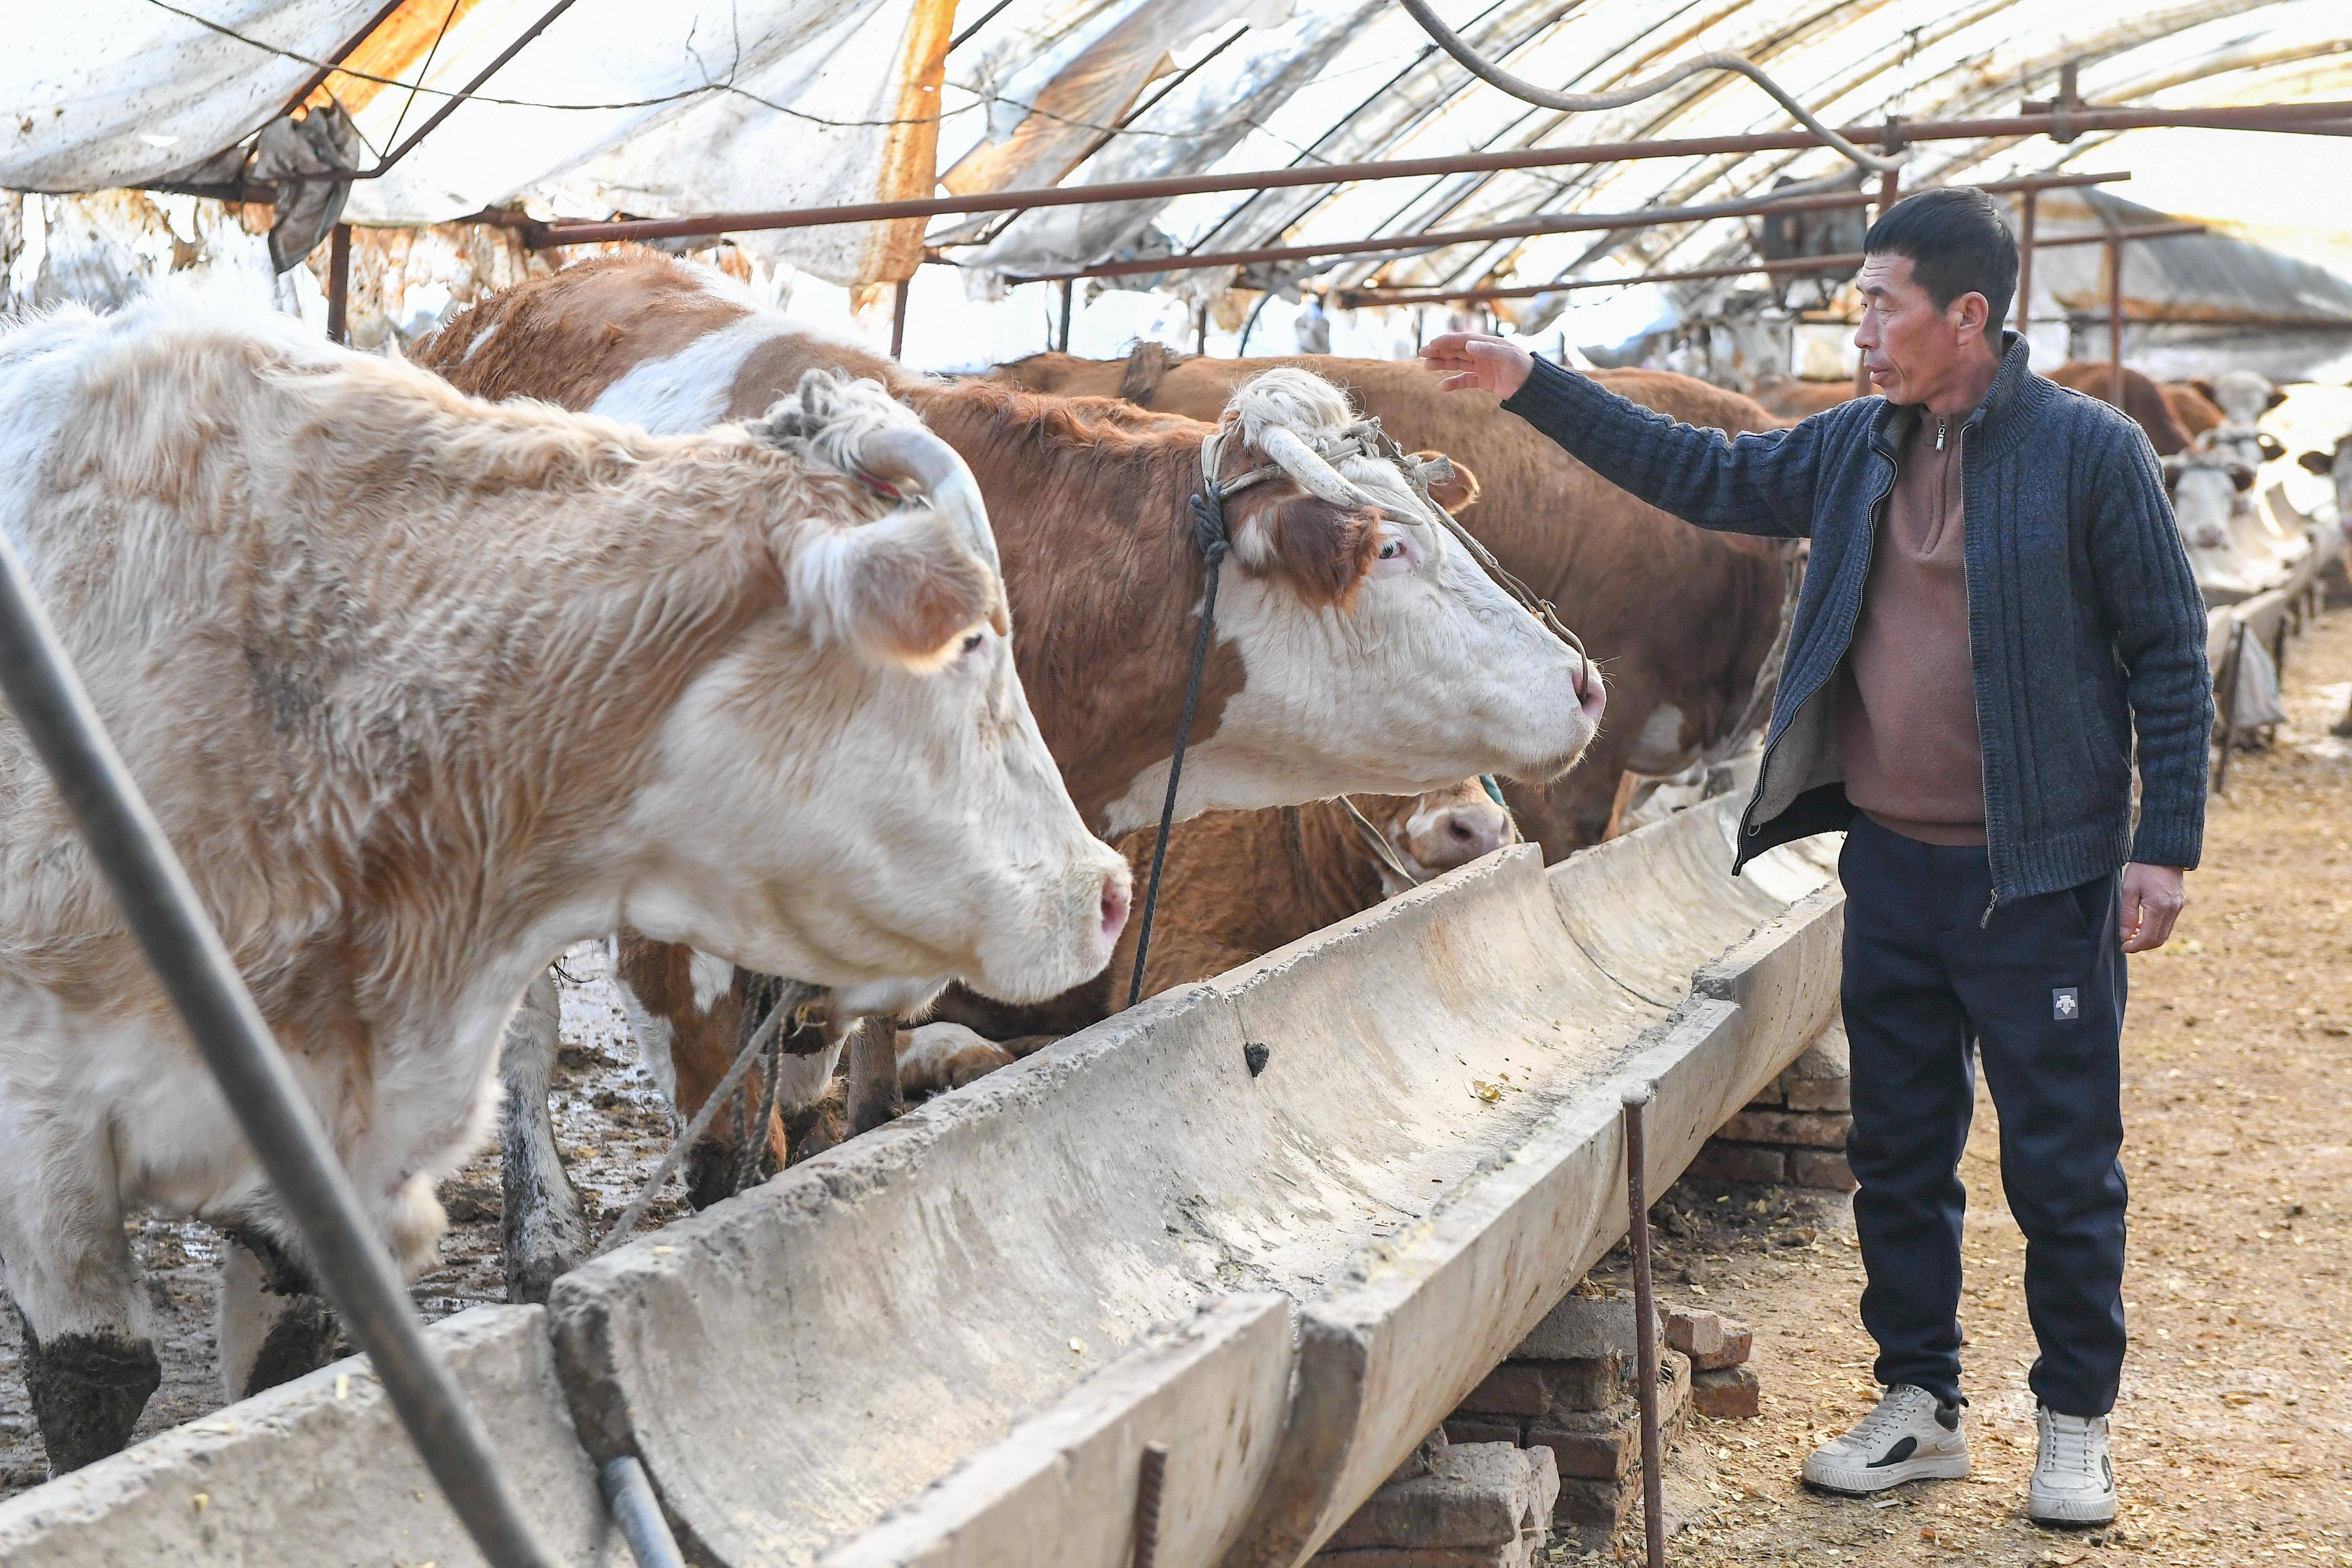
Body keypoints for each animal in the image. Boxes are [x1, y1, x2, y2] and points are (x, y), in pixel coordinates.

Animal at [414, 248, 1609, 1298]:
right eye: (1391, 549)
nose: (1585, 682)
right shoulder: (677, 956)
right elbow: (719, 1159)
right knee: (522, 1028)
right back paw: (539, 1231)